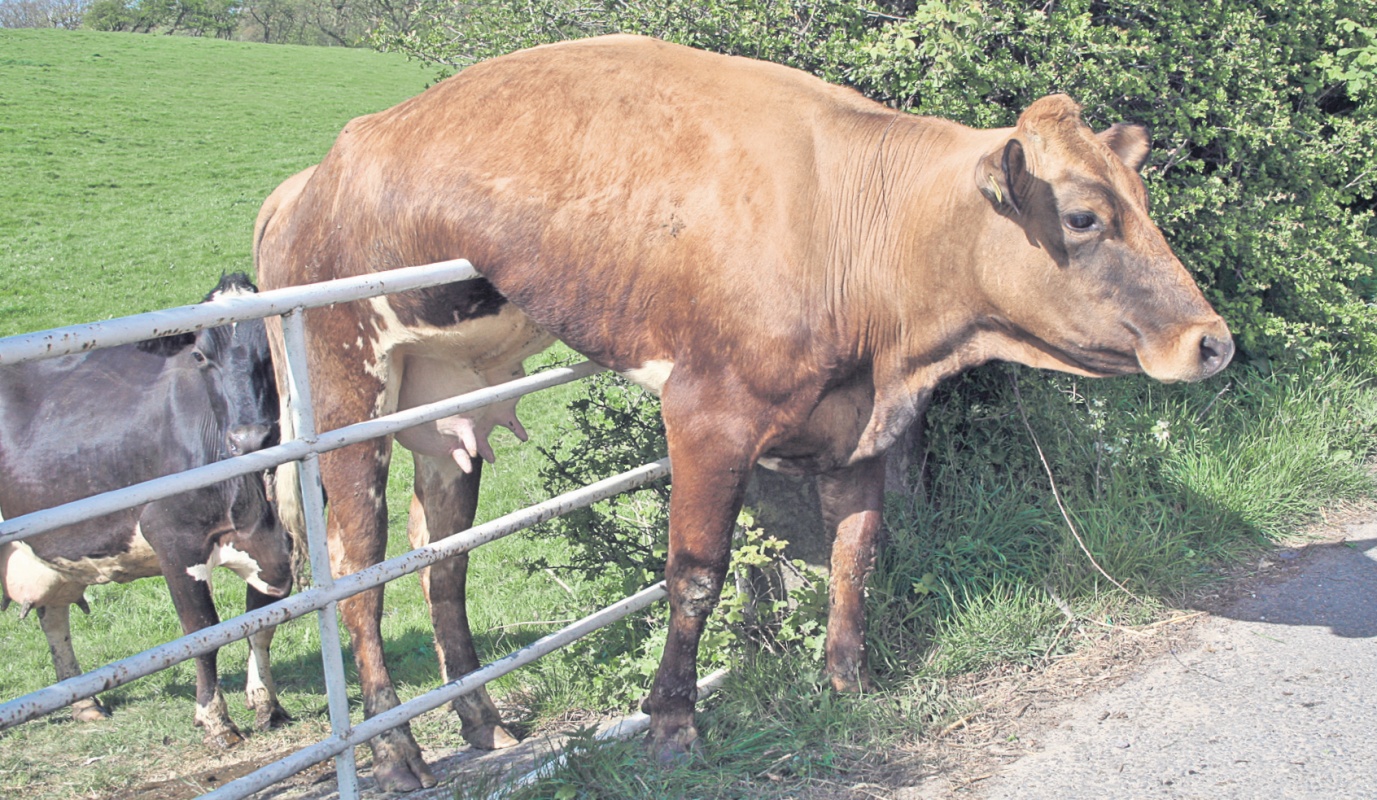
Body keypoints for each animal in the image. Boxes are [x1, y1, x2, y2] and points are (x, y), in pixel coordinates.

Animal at [0, 273, 294, 748]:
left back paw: (85, 703)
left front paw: (268, 704)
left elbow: (262, 622)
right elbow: (204, 631)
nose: (250, 438)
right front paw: (216, 719)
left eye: (271, 347)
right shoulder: (173, 539)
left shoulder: (280, 547)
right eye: (199, 355)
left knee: (53, 614)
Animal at [253, 35, 1233, 789]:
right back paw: (397, 757)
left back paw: (483, 726)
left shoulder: (855, 425)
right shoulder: (707, 414)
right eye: (1084, 216)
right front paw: (672, 727)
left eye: (1141, 202)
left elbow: (853, 553)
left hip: (444, 408)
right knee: (358, 574)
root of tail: (307, 180)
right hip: (346, 393)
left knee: (441, 566)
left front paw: (846, 684)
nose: (1211, 341)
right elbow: (693, 574)